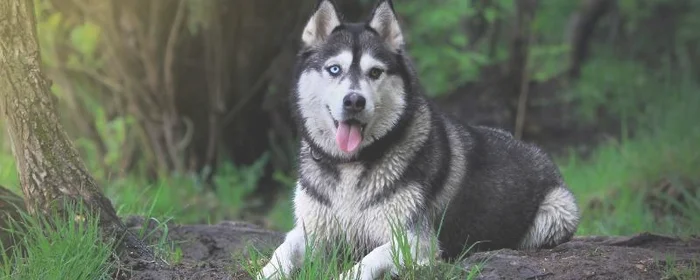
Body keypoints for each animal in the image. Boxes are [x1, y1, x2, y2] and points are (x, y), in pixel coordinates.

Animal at [258, 1, 580, 278]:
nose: (354, 101)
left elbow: (366, 262)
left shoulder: (414, 240)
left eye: (375, 72)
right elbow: (281, 252)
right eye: (334, 69)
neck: (350, 165)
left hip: (557, 212)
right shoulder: (310, 230)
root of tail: (536, 149)